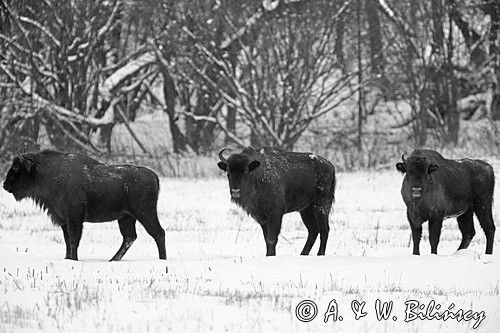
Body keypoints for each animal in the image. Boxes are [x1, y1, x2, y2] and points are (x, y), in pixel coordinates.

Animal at [2, 149, 166, 260]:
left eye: (16, 168)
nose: (4, 185)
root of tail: (154, 176)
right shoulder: (64, 220)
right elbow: (67, 241)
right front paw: (67, 258)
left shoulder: (74, 218)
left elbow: (74, 239)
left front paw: (73, 259)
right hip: (126, 217)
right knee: (130, 237)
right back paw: (112, 260)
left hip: (144, 214)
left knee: (158, 233)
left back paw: (161, 259)